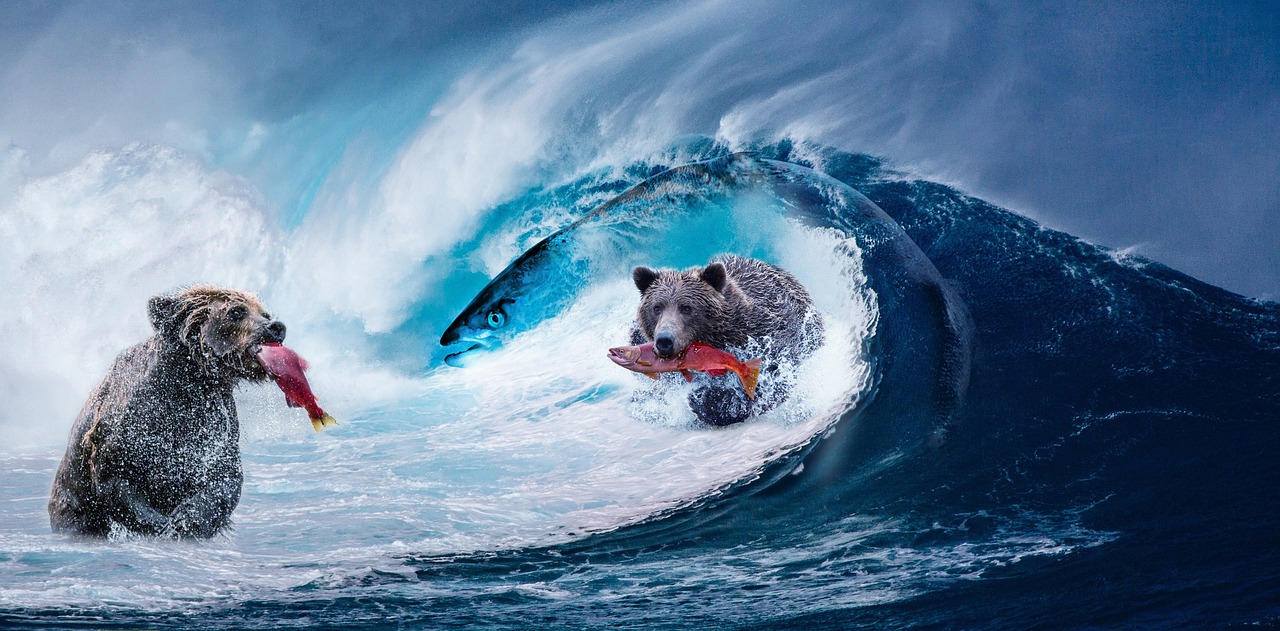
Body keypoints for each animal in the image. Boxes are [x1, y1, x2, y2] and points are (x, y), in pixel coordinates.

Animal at [49, 285, 288, 535]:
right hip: (72, 503)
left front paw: (187, 519)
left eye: (264, 313)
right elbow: (114, 477)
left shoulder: (219, 427)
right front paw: (162, 524)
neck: (189, 383)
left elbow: (224, 478)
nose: (276, 327)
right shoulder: (123, 428)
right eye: (236, 311)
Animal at [634, 253, 824, 424]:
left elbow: (771, 374)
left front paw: (708, 399)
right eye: (657, 307)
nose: (664, 340)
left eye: (686, 308)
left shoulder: (766, 333)